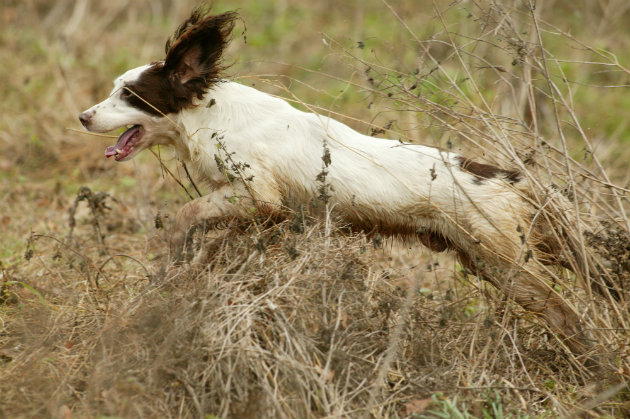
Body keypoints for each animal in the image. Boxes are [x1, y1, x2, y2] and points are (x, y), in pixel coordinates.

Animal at [80, 8, 592, 354]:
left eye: (129, 95)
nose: (83, 117)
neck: (209, 115)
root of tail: (509, 176)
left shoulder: (259, 195)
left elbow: (188, 214)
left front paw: (176, 252)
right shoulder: (268, 214)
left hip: (506, 261)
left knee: (566, 313)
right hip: (502, 255)